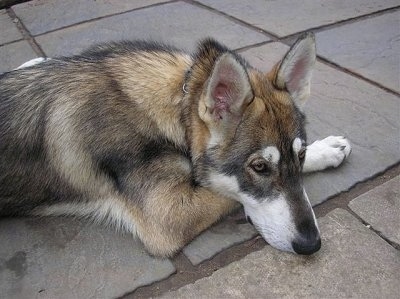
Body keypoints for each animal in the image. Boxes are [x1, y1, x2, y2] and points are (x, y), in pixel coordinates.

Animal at [0, 32, 350, 258]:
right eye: (260, 167)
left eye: (299, 155)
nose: (311, 245)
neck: (176, 108)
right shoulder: (167, 216)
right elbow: (222, 190)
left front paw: (326, 149)